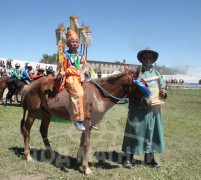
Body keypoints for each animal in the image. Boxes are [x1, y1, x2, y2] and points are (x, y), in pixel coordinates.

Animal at [20, 69, 151, 175]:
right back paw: (28, 155)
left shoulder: (87, 124)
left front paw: (79, 159)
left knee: (43, 130)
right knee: (27, 130)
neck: (98, 94)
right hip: (32, 112)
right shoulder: (87, 122)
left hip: (46, 112)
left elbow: (82, 140)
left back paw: (51, 153)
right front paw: (86, 168)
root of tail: (30, 85)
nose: (149, 102)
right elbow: (87, 143)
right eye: (141, 85)